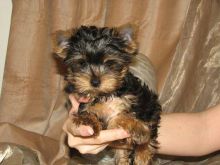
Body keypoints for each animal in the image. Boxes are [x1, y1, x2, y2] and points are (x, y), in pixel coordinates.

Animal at [52, 24, 161, 165]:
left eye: (109, 63)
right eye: (82, 63)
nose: (95, 82)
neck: (104, 94)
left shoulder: (138, 101)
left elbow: (125, 116)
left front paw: (139, 129)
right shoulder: (85, 104)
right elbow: (90, 113)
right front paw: (88, 120)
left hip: (151, 105)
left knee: (151, 129)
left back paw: (142, 153)